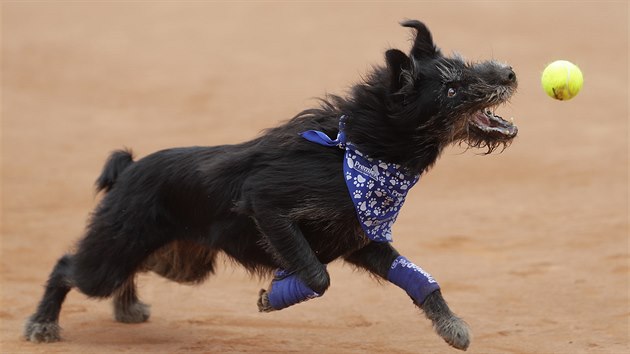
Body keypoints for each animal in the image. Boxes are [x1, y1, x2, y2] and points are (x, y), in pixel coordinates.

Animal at [24, 20, 520, 350]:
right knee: (68, 267)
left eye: (464, 65)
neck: (356, 151)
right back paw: (42, 324)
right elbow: (316, 276)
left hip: (176, 260)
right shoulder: (269, 207)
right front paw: (275, 297)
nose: (511, 73)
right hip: (115, 254)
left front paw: (452, 327)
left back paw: (126, 308)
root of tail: (128, 169)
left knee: (129, 270)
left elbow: (420, 280)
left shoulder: (363, 242)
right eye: (452, 88)